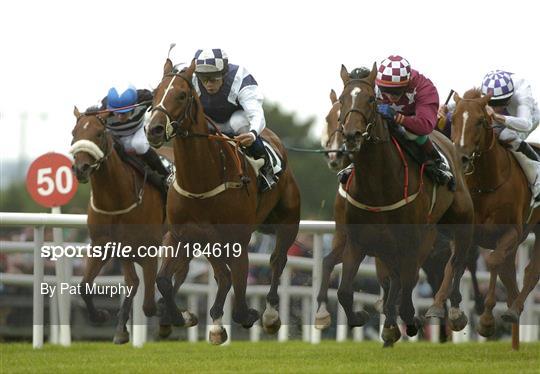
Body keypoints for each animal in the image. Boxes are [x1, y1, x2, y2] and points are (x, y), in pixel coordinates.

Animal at [71, 106, 165, 344]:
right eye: (73, 133)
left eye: (98, 134)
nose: (81, 168)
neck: (116, 199)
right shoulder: (104, 245)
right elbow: (85, 285)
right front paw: (102, 317)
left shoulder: (148, 250)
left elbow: (148, 303)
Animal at [146, 59, 302, 344]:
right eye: (154, 93)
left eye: (182, 95)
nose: (154, 129)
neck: (201, 181)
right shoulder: (183, 234)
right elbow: (165, 279)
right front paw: (181, 315)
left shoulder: (232, 237)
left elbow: (235, 282)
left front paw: (244, 314)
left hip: (287, 221)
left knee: (276, 260)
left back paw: (270, 314)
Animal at [340, 65, 474, 348]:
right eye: (342, 100)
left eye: (371, 100)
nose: (351, 135)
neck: (377, 186)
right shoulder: (357, 242)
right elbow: (345, 291)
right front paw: (361, 316)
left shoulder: (412, 242)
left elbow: (408, 289)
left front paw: (412, 321)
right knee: (395, 279)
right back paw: (391, 326)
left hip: (460, 222)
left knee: (457, 261)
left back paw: (454, 312)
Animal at [452, 89, 540, 338]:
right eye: (453, 120)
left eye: (480, 121)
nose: (461, 158)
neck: (485, 185)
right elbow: (458, 261)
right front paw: (450, 311)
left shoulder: (510, 232)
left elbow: (492, 262)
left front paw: (486, 319)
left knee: (531, 271)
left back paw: (513, 310)